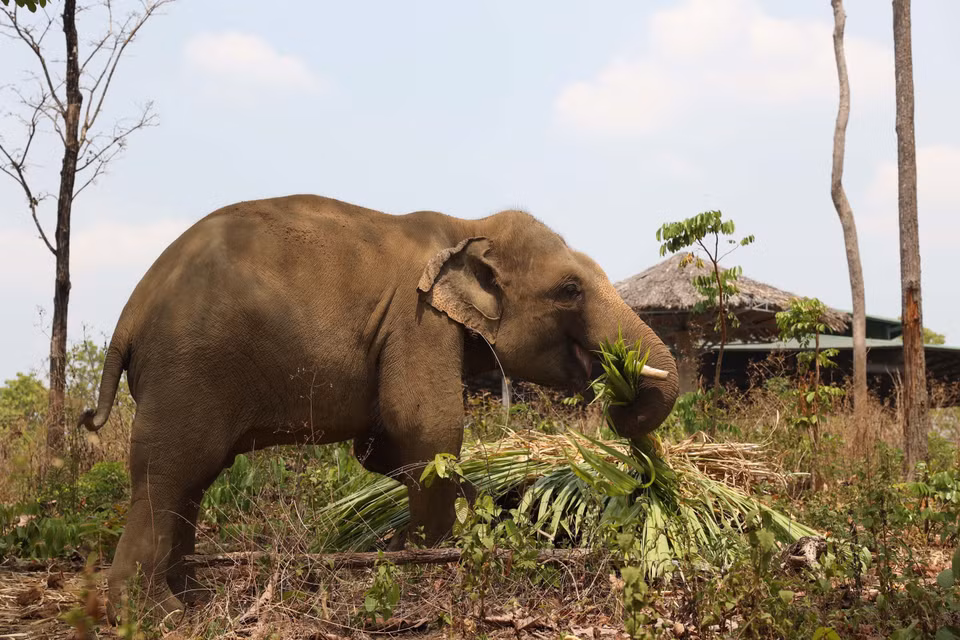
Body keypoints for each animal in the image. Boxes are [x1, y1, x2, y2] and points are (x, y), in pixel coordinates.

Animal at [79, 194, 679, 621]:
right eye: (570, 290)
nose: (621, 397)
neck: (464, 224)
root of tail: (130, 313)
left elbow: (380, 448)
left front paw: (468, 519)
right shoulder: (418, 323)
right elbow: (426, 427)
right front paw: (429, 556)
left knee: (191, 480)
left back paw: (192, 598)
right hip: (188, 369)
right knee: (170, 471)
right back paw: (156, 616)